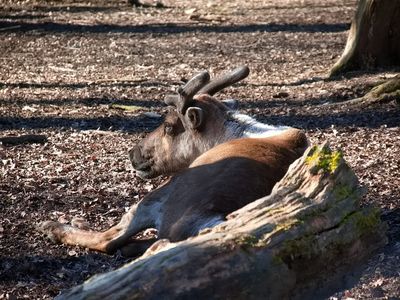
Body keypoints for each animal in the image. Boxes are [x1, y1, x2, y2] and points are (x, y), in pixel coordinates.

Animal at [37, 67, 308, 256]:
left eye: (168, 126)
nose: (133, 153)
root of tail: (213, 220)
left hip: (165, 194)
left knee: (112, 239)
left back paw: (55, 226)